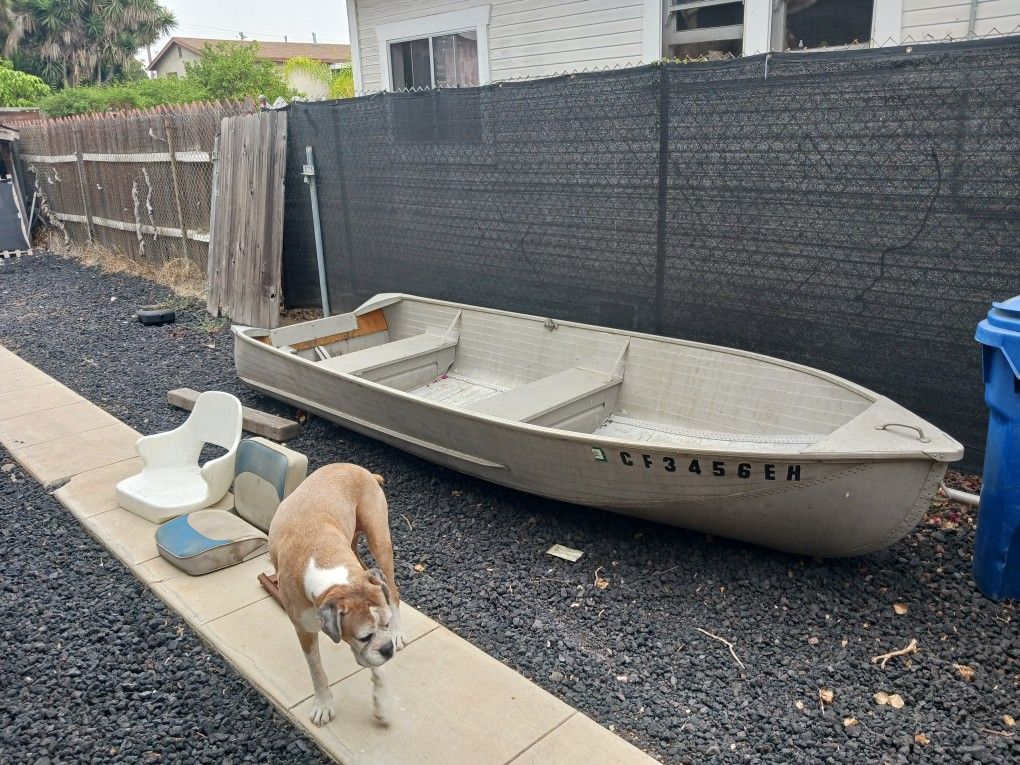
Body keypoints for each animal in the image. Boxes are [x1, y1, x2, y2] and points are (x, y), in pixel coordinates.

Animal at [269, 465, 403, 726]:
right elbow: (317, 670)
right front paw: (324, 704)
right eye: (365, 636)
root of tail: (361, 469)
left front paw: (382, 704)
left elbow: (376, 667)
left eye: (386, 624)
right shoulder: (304, 631)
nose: (388, 649)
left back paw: (400, 632)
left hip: (380, 543)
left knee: (393, 592)